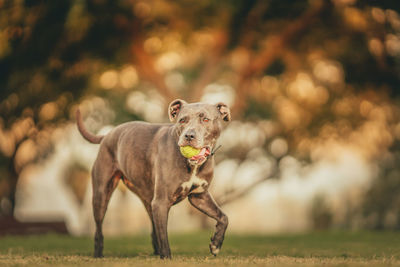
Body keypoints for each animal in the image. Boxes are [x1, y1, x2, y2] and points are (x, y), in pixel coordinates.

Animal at [76, 100, 230, 260]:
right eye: (182, 120)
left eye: (205, 119)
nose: (189, 135)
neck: (192, 165)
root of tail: (107, 135)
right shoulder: (161, 202)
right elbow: (164, 236)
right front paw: (166, 257)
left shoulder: (199, 196)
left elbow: (223, 217)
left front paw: (216, 244)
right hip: (101, 195)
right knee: (98, 229)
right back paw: (98, 254)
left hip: (148, 200)